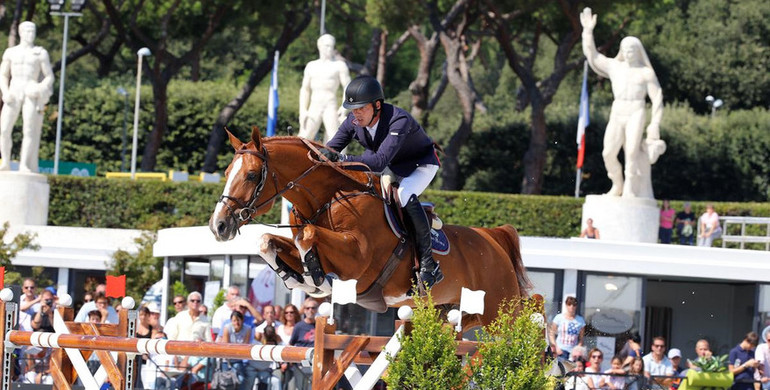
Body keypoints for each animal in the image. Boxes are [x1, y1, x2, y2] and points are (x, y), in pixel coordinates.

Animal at [207, 128, 532, 330]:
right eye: (226, 172)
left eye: (251, 175)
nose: (218, 225)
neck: (328, 198)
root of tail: (493, 238)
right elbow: (268, 241)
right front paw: (298, 276)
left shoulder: (357, 259)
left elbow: (308, 236)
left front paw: (317, 277)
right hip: (455, 312)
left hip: (501, 314)